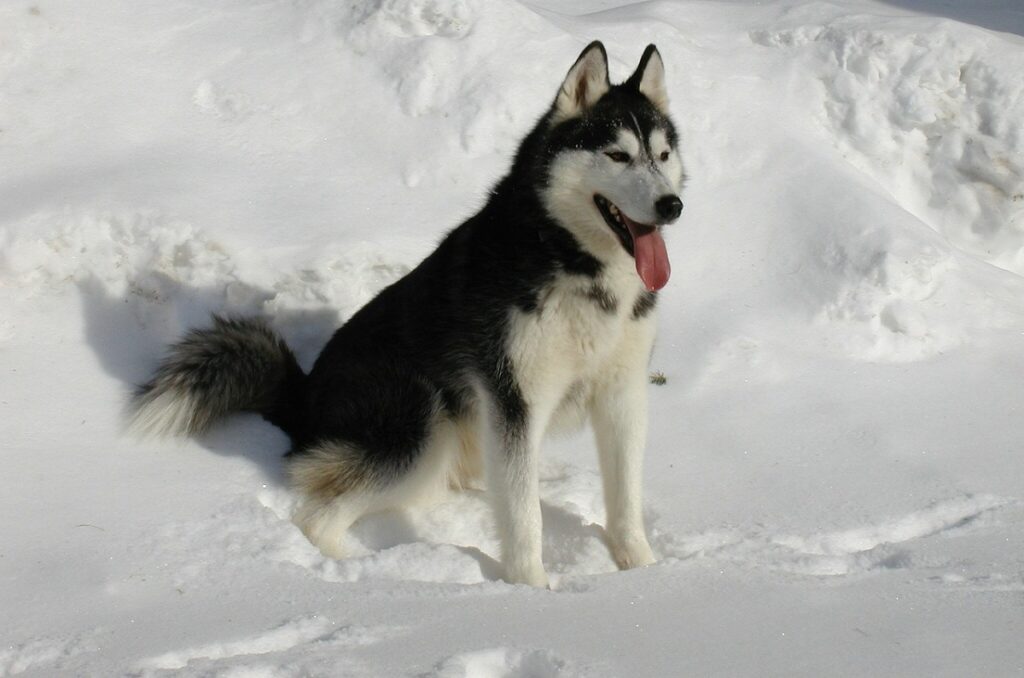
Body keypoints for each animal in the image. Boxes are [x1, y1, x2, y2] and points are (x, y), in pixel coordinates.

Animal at [130, 42, 688, 585]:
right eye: (617, 155)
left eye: (663, 155)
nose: (672, 205)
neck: (575, 264)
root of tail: (303, 395)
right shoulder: (514, 401)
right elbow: (525, 518)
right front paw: (531, 590)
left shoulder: (622, 393)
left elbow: (624, 500)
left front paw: (645, 572)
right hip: (422, 425)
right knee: (317, 517)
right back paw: (375, 575)